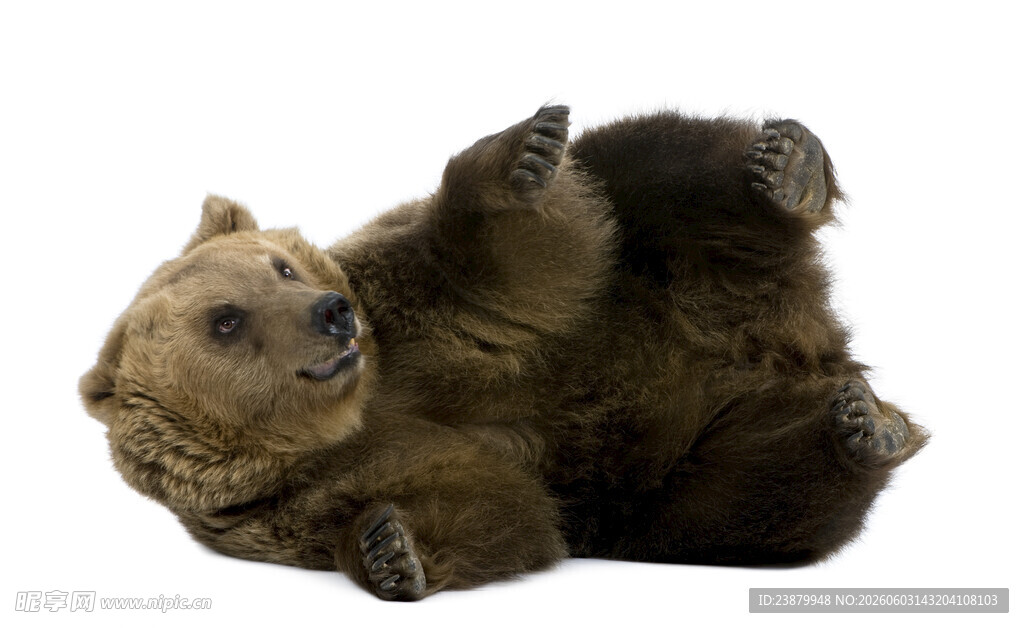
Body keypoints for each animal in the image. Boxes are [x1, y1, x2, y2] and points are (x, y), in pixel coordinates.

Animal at [80, 105, 927, 601]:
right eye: (225, 321)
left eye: (282, 266)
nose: (330, 314)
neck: (360, 401)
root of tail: (807, 336)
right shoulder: (291, 500)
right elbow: (488, 504)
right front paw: (392, 549)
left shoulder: (402, 294)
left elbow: (514, 261)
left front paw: (521, 155)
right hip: (668, 482)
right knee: (766, 492)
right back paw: (862, 429)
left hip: (660, 245)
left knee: (661, 158)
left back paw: (787, 168)